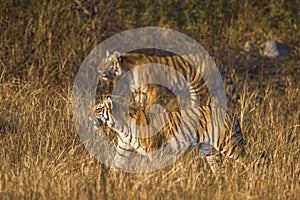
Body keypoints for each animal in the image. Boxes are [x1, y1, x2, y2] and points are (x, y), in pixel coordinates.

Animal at [89, 96, 246, 173]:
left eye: (98, 109)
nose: (89, 116)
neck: (120, 127)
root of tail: (230, 112)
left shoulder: (153, 151)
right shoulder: (123, 149)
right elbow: (116, 165)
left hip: (227, 143)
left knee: (246, 159)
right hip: (210, 151)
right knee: (219, 170)